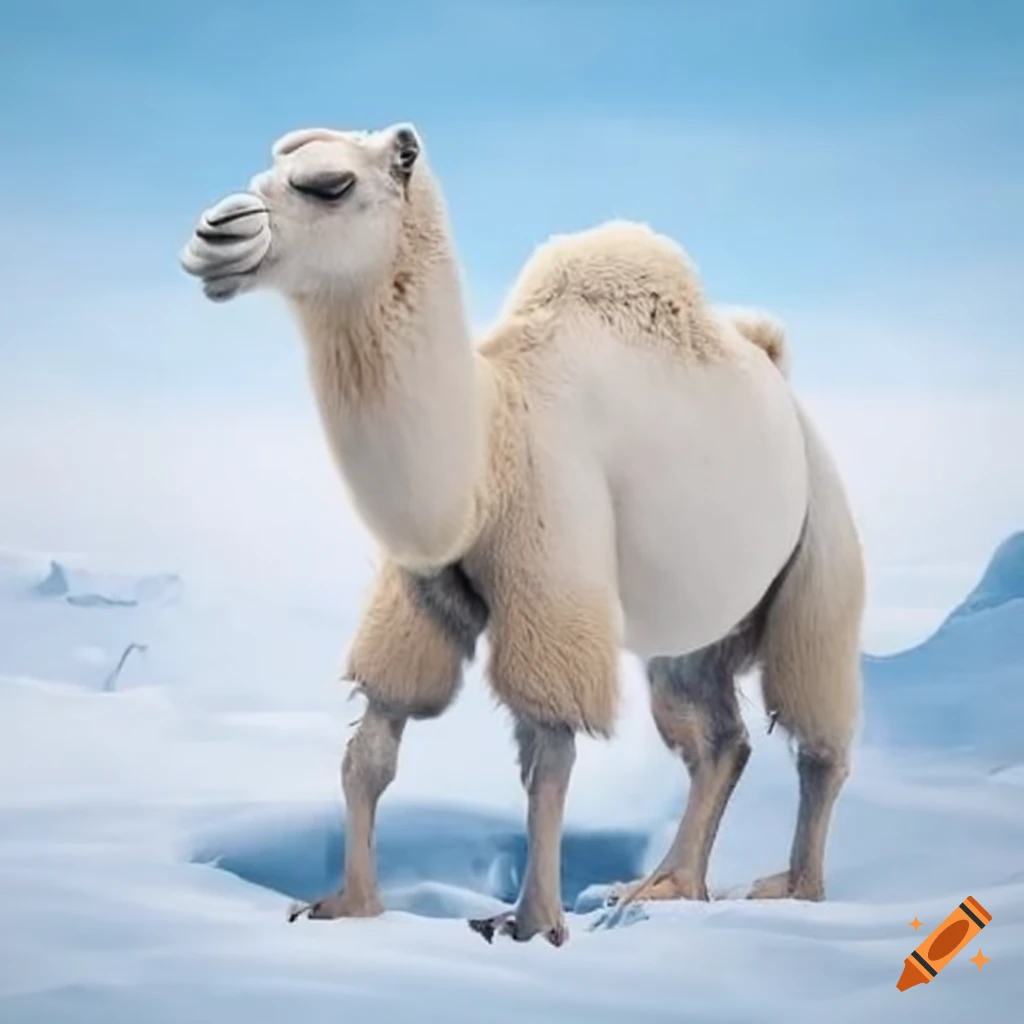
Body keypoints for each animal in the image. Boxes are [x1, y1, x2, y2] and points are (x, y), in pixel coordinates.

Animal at [180, 122, 865, 946]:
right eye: (265, 173)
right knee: (716, 738)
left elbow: (550, 757)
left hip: (822, 547)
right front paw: (346, 906)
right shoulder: (420, 593)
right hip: (696, 633)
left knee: (818, 736)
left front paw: (534, 925)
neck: (489, 443)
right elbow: (371, 747)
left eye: (329, 184)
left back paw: (795, 890)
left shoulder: (553, 576)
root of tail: (776, 372)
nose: (215, 231)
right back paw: (667, 886)